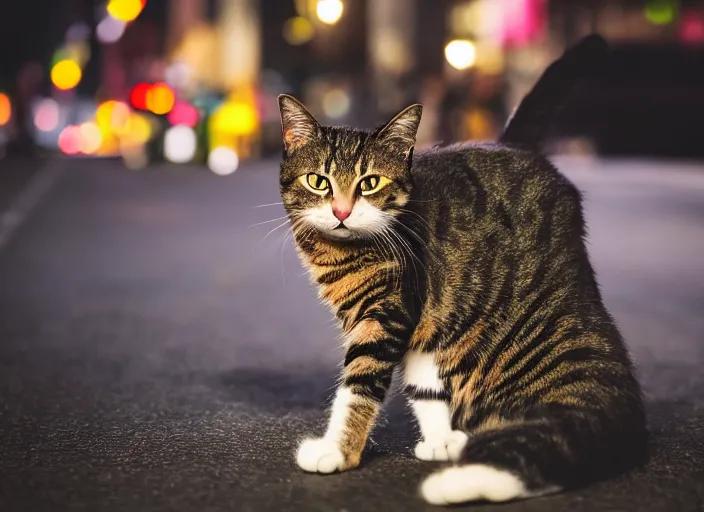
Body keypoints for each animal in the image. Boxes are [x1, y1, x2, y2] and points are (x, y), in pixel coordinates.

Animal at [276, 34, 648, 506]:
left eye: (370, 183)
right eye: (318, 181)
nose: (341, 211)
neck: (339, 252)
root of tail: (516, 147)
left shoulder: (386, 314)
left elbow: (359, 384)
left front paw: (338, 452)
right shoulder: (416, 313)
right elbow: (421, 382)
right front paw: (439, 441)